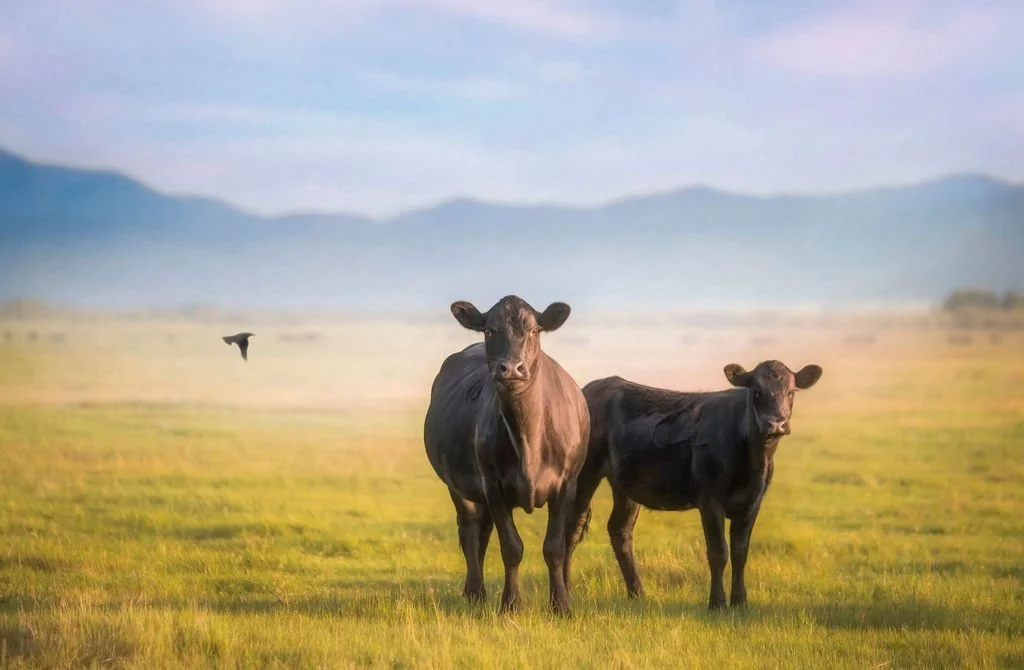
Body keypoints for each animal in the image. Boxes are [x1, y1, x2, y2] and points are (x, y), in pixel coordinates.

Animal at [423, 295, 591, 616]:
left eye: (535, 330)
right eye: (489, 330)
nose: (511, 368)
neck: (528, 439)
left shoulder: (567, 484)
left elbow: (554, 547)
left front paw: (560, 605)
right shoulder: (493, 485)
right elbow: (511, 547)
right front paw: (511, 604)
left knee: (483, 530)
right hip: (457, 485)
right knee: (469, 529)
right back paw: (475, 591)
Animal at [564, 360, 823, 610]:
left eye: (792, 392)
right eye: (756, 392)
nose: (776, 424)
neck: (753, 461)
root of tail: (592, 388)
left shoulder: (752, 503)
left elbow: (740, 552)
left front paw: (740, 602)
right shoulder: (710, 501)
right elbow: (718, 552)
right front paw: (717, 603)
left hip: (625, 485)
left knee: (620, 530)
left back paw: (637, 593)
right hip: (584, 474)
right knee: (573, 528)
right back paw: (567, 591)